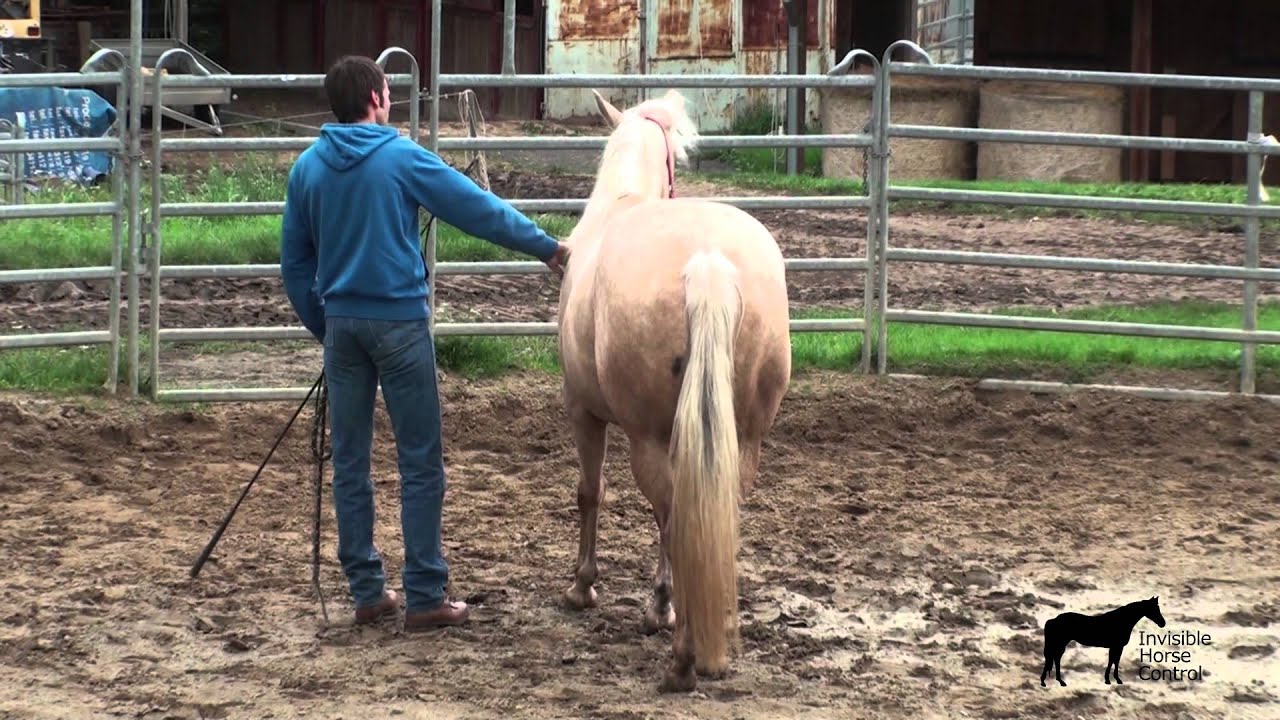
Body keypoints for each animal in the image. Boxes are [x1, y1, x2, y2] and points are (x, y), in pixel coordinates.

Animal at [554, 88, 792, 693]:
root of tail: (706, 263)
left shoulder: (582, 412)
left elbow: (590, 493)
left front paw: (584, 587)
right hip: (741, 444)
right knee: (711, 518)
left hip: (647, 439)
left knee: (675, 517)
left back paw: (682, 654)